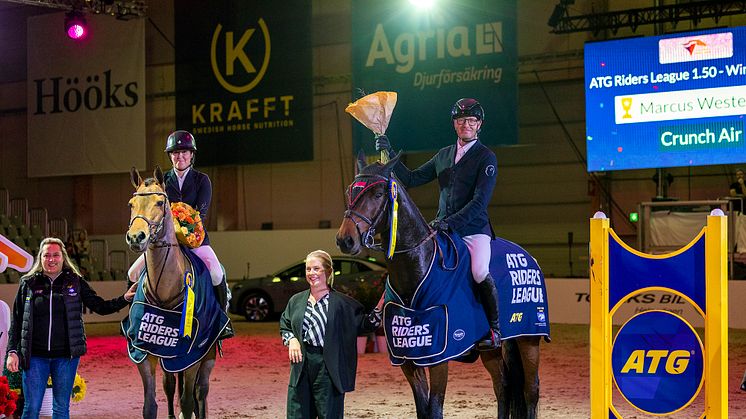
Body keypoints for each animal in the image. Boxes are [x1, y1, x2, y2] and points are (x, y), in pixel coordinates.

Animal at [125, 167, 215, 419]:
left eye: (159, 202)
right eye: (131, 204)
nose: (136, 237)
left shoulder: (193, 355)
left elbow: (187, 401)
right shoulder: (144, 351)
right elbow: (150, 405)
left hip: (208, 356)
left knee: (201, 392)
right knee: (170, 385)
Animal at [336, 155, 540, 419]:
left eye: (379, 193)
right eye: (350, 191)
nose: (345, 240)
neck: (418, 269)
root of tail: (527, 255)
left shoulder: (438, 356)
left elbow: (434, 408)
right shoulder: (409, 357)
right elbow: (423, 409)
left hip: (529, 338)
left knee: (530, 390)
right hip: (491, 350)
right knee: (503, 386)